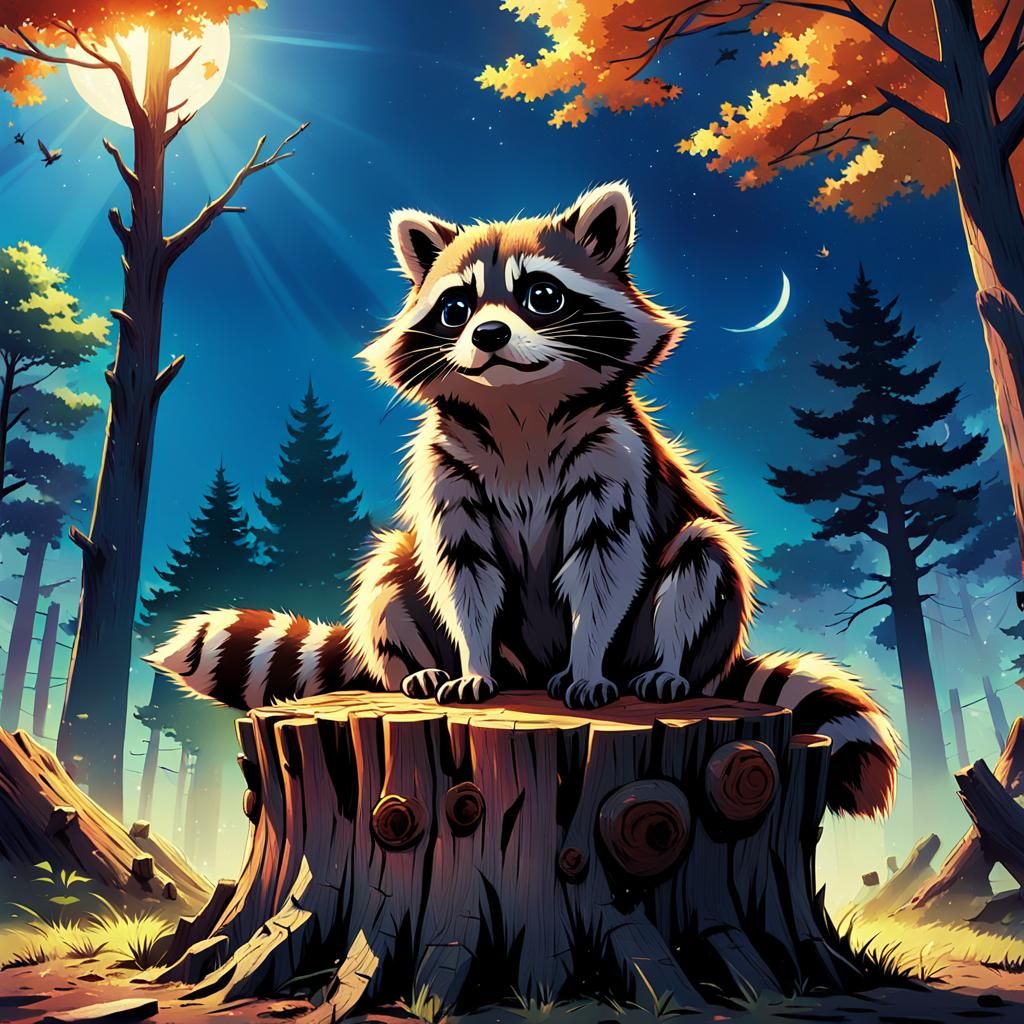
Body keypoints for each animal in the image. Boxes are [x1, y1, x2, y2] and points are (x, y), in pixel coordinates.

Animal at [149, 183, 899, 817]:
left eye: (542, 295)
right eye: (457, 308)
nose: (487, 335)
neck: (520, 409)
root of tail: (534, 670)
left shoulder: (613, 455)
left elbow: (604, 565)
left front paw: (590, 662)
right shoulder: (447, 467)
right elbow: (465, 572)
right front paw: (473, 662)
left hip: (693, 612)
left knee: (701, 553)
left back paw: (664, 669)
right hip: (421, 590)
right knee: (393, 568)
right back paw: (419, 670)